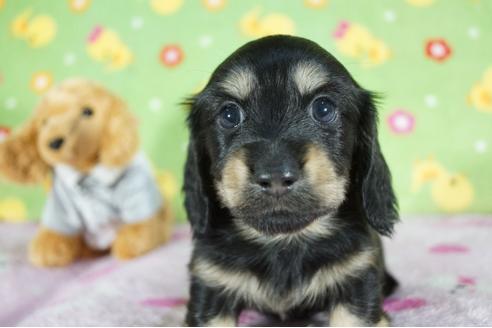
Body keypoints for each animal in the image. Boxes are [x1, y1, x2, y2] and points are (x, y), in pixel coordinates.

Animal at [183, 34, 398, 326]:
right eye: (229, 115)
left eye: (323, 108)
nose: (275, 175)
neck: (284, 242)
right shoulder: (211, 284)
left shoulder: (358, 278)